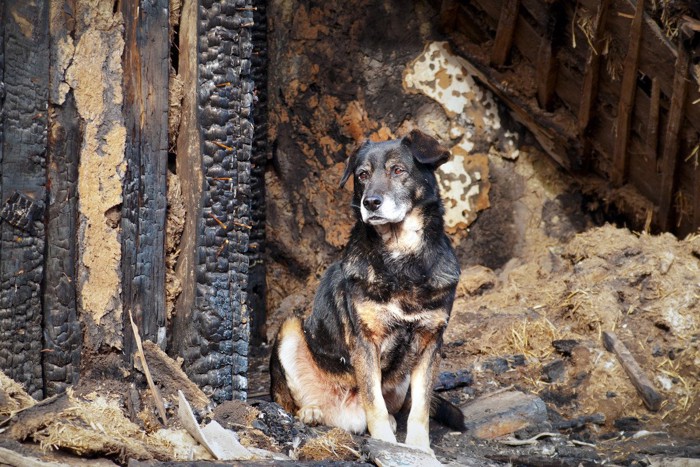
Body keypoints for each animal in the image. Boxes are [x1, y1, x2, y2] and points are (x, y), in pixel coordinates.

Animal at [270, 131, 462, 454]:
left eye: (398, 170)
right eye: (362, 175)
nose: (370, 202)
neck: (401, 261)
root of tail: (344, 414)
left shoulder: (430, 342)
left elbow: (420, 407)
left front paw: (419, 447)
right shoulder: (365, 341)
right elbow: (375, 403)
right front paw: (385, 442)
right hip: (291, 328)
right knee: (288, 402)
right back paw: (311, 410)